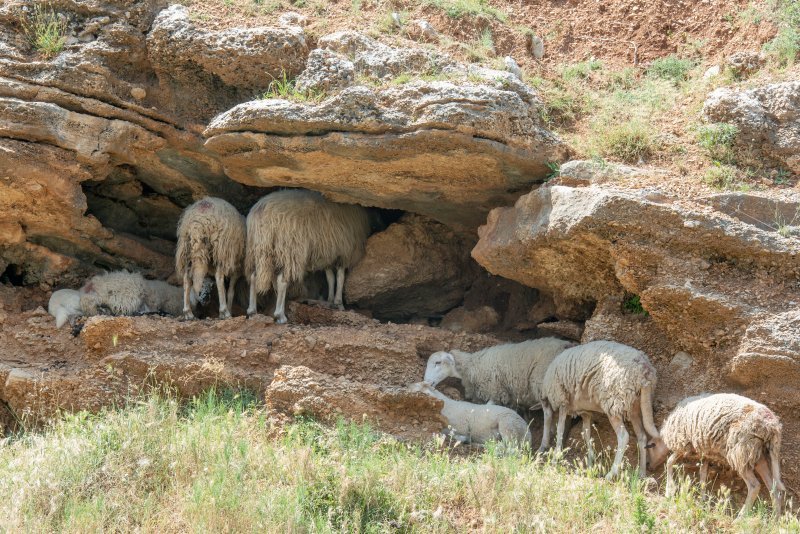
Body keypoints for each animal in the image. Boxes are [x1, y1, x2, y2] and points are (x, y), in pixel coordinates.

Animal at [424, 340, 576, 414]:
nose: (426, 381)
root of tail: (567, 345)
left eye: (438, 362)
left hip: (543, 381)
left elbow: (488, 407)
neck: (471, 365)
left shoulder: (495, 391)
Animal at [536, 344, 664, 482]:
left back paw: (611, 474)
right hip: (634, 407)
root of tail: (645, 372)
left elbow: (559, 429)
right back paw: (641, 473)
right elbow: (586, 432)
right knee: (642, 436)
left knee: (624, 436)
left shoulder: (562, 400)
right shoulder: (585, 411)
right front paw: (590, 459)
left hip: (614, 400)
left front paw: (554, 457)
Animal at [648, 394, 784, 520]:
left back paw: (740, 518)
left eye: (650, 446)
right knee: (773, 487)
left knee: (755, 486)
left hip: (740, 451)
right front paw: (702, 500)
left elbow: (670, 461)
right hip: (758, 455)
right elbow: (703, 475)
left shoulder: (684, 444)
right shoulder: (704, 452)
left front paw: (668, 491)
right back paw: (775, 519)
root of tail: (771, 425)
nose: (649, 467)